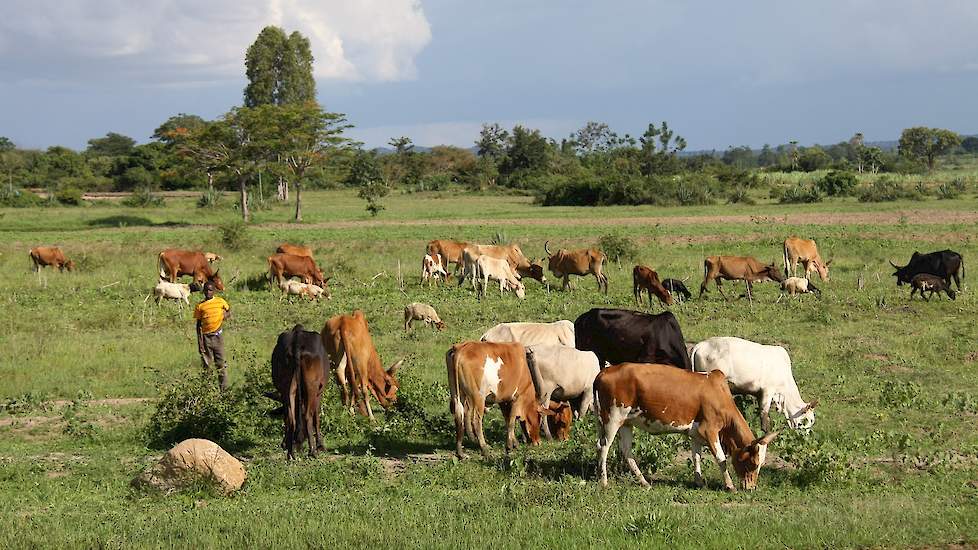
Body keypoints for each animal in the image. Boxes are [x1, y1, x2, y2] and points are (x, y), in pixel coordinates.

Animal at [266, 328, 328, 462]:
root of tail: (298, 341)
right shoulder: (319, 393)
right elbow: (316, 417)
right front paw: (320, 445)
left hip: (286, 386)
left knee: (291, 418)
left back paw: (290, 453)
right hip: (312, 387)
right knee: (308, 416)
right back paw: (312, 451)